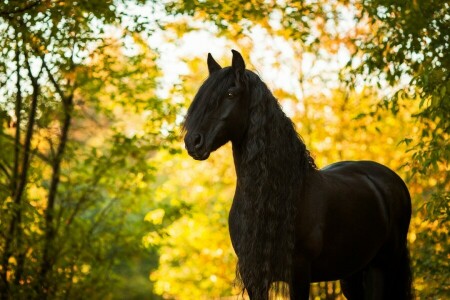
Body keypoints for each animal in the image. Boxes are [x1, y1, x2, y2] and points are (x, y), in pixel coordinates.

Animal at [182, 50, 412, 298]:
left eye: (231, 94)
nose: (193, 141)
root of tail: (392, 180)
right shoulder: (254, 277)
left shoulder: (299, 273)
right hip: (352, 273)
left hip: (381, 267)